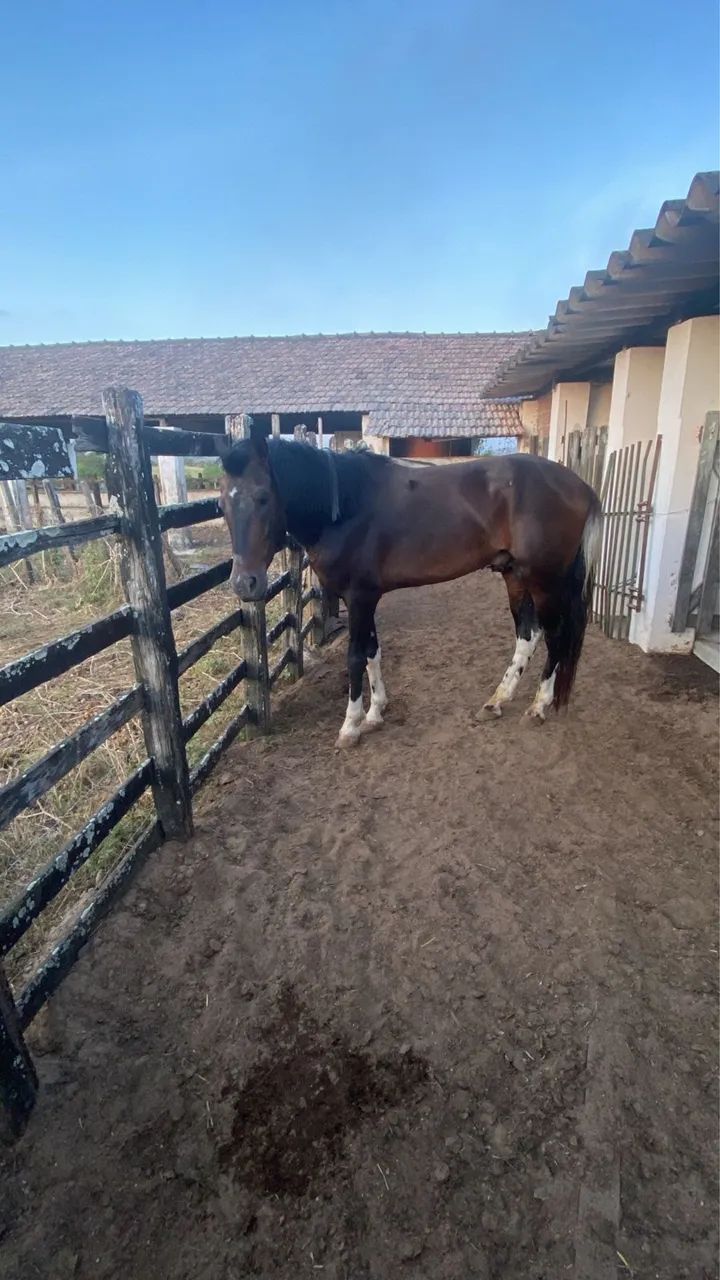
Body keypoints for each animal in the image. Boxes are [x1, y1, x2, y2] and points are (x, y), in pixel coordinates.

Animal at [218, 427, 602, 748]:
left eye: (263, 497)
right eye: (222, 503)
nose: (244, 583)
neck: (346, 506)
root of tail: (580, 487)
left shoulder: (359, 598)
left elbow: (355, 657)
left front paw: (350, 726)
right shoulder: (365, 598)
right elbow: (373, 652)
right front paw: (375, 713)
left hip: (545, 580)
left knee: (554, 636)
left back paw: (538, 707)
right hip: (515, 575)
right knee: (528, 634)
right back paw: (496, 702)